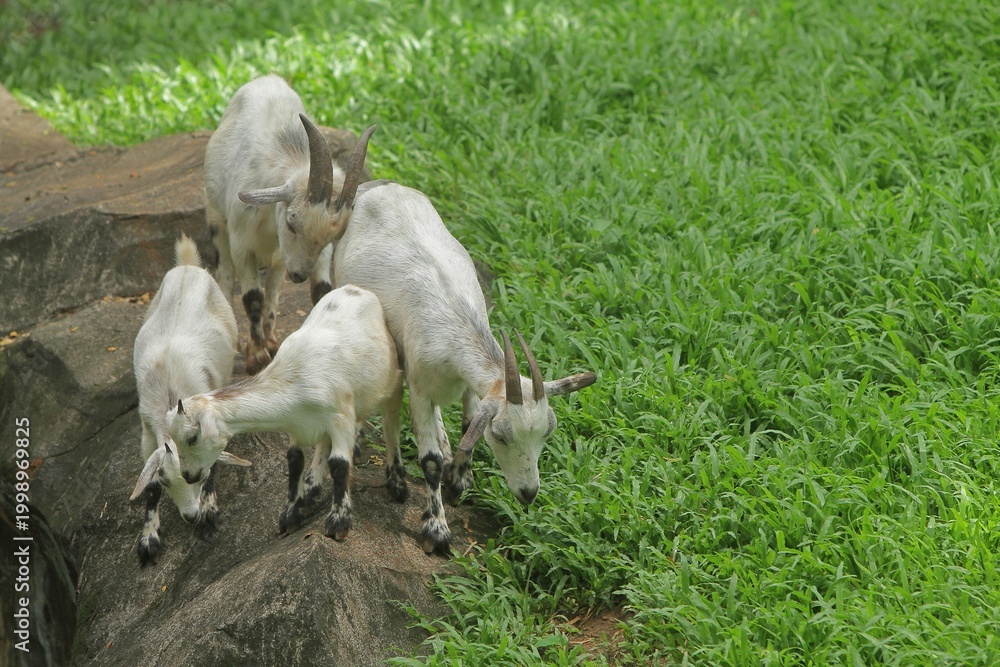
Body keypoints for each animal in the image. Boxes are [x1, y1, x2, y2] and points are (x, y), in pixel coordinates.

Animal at [129, 234, 250, 565]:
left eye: (197, 476)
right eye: (166, 482)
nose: (191, 516)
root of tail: (187, 266)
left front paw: (209, 512)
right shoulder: (147, 431)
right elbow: (149, 487)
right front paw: (148, 538)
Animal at [165, 285, 403, 541]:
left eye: (192, 437)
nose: (188, 475)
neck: (292, 379)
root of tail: (356, 289)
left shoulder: (341, 418)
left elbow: (339, 464)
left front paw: (338, 522)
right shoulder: (297, 424)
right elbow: (295, 461)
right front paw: (291, 515)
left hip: (393, 381)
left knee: (391, 424)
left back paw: (398, 484)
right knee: (323, 446)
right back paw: (311, 490)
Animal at [204, 74, 375, 374]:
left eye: (331, 238)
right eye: (292, 223)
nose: (298, 275)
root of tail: (266, 79)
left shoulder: (312, 253)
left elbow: (320, 291)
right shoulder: (241, 243)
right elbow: (252, 297)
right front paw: (257, 357)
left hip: (279, 255)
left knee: (273, 280)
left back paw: (272, 338)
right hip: (217, 219)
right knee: (225, 272)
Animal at [332, 180, 597, 554]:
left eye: (548, 431)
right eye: (501, 435)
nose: (529, 493)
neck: (456, 327)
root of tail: (377, 185)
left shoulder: (474, 386)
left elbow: (469, 426)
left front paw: (458, 481)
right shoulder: (420, 389)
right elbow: (429, 460)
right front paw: (437, 530)